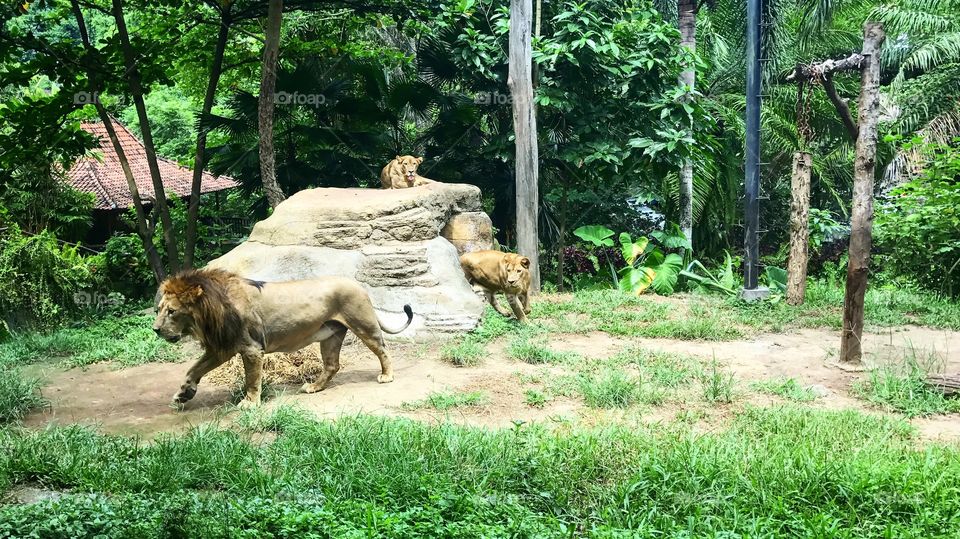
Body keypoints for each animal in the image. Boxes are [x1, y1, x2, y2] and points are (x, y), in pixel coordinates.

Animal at [153, 268, 413, 408]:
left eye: (172, 311)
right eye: (159, 309)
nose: (155, 329)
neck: (210, 311)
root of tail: (359, 285)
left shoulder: (251, 348)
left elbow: (252, 379)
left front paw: (250, 403)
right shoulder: (221, 347)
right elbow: (193, 370)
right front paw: (184, 394)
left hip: (363, 324)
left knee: (383, 349)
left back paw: (387, 376)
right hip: (330, 335)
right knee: (332, 365)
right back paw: (314, 387)